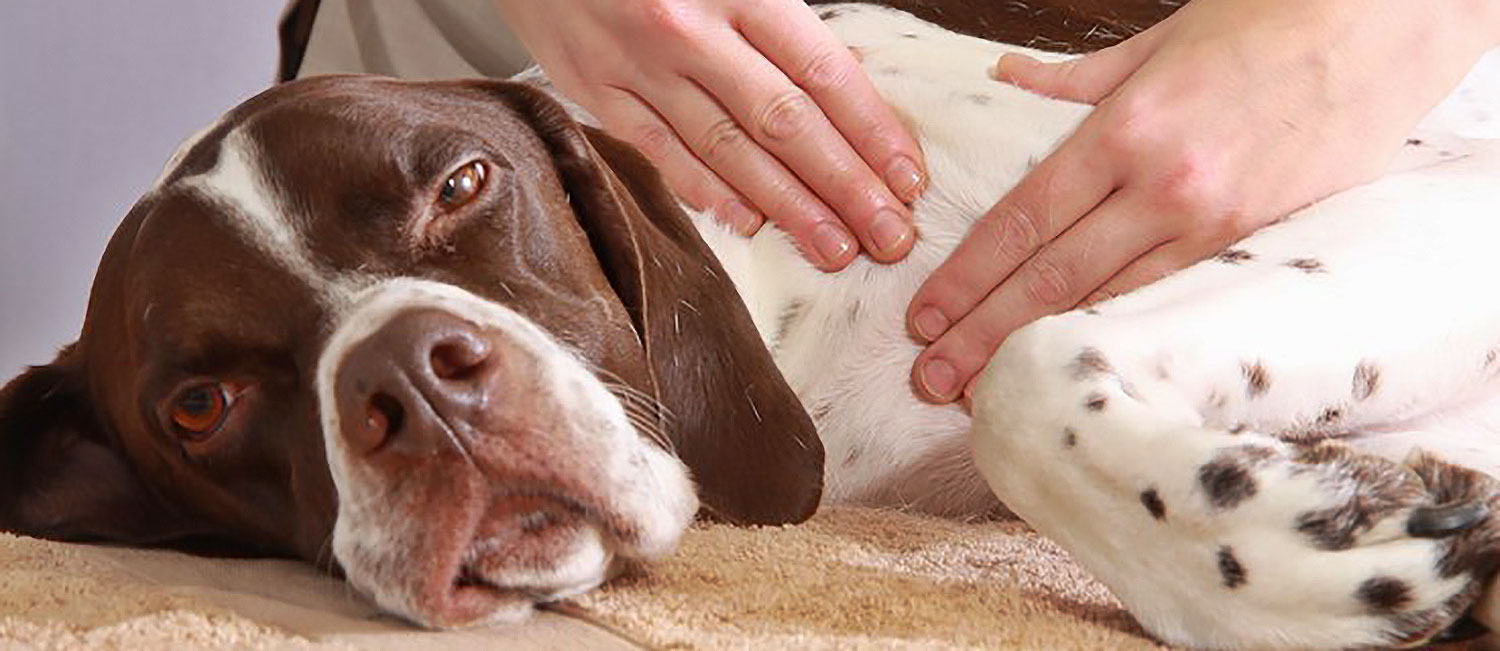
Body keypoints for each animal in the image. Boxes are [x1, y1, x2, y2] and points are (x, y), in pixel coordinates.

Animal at [8, 2, 1500, 648]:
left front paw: (1304, 562)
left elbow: (1023, 371)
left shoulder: (1445, 197)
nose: (414, 388)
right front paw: (1319, 544)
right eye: (200, 403)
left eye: (463, 184)